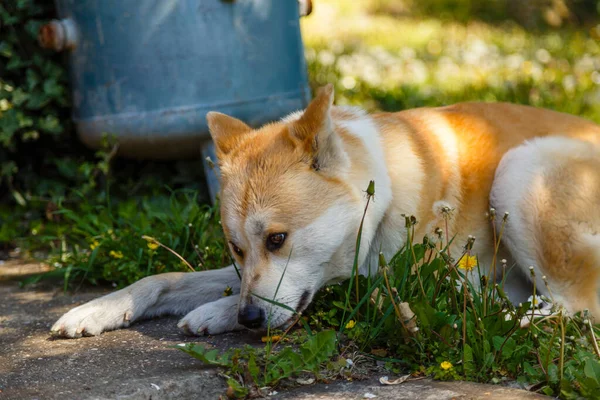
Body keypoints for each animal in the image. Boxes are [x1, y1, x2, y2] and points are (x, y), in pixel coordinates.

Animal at [50, 85, 600, 338]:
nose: (248, 319)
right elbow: (163, 279)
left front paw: (215, 312)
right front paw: (98, 309)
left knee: (577, 306)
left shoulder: (399, 282)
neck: (383, 190)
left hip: (519, 168)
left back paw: (495, 313)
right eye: (236, 247)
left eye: (277, 239)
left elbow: (326, 291)